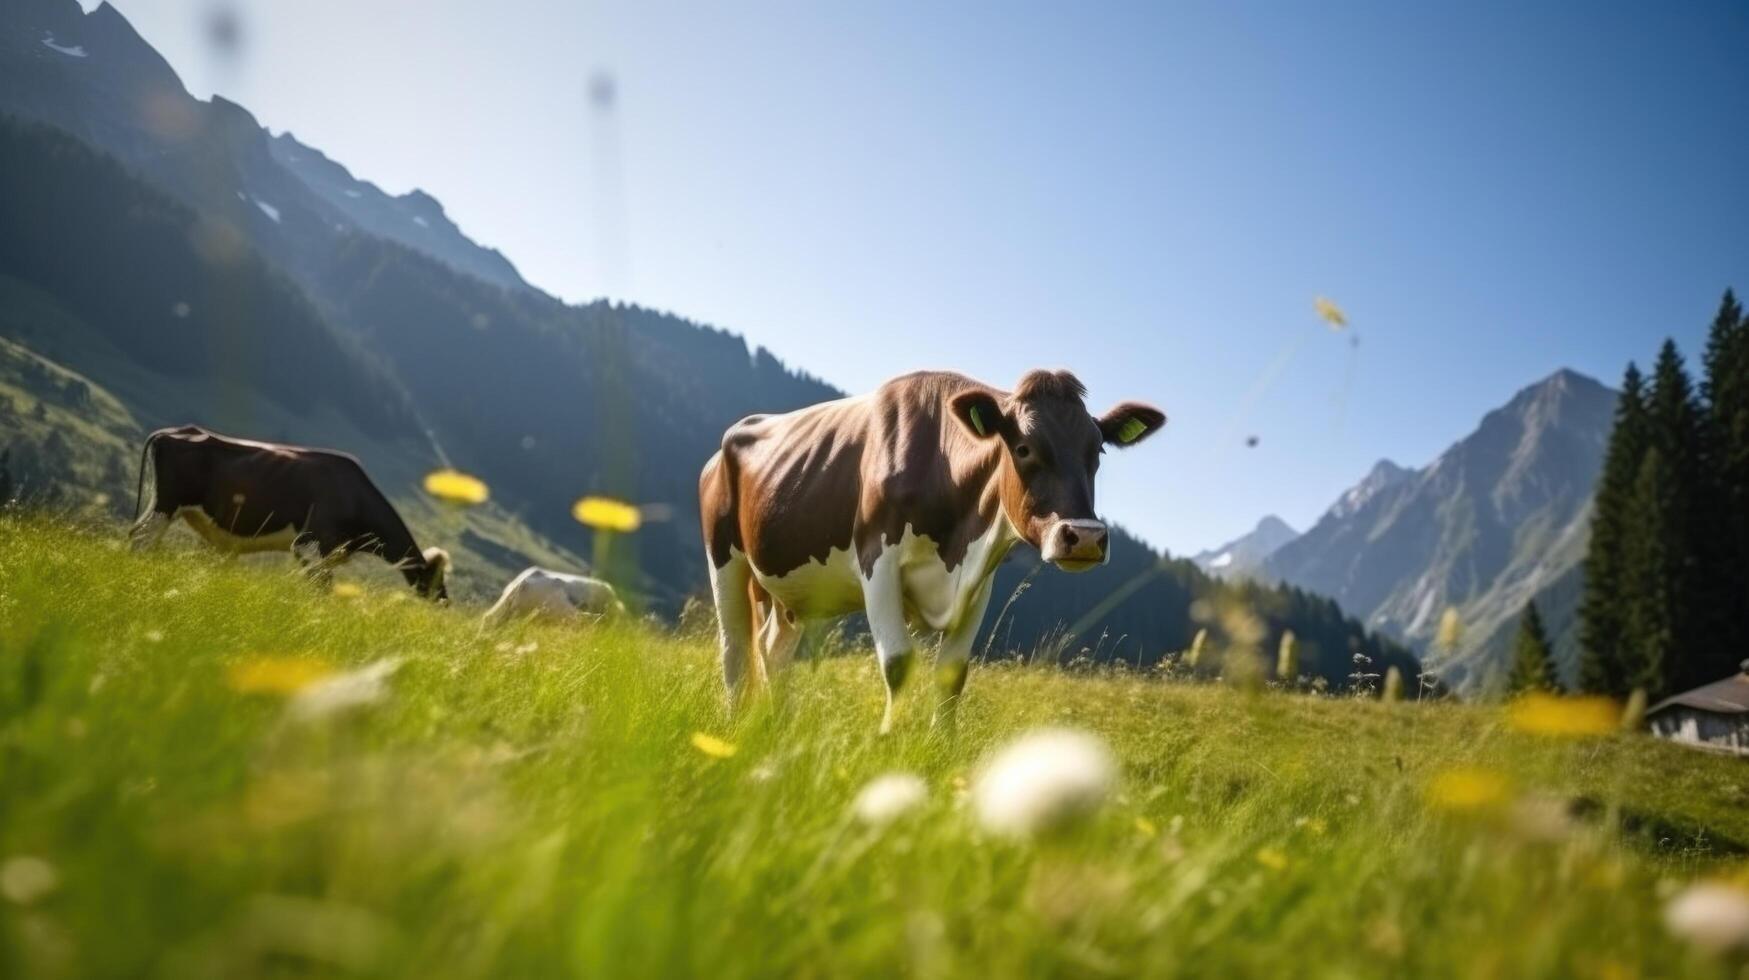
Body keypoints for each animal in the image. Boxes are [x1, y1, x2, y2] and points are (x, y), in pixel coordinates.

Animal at [133, 421, 454, 598]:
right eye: (435, 577)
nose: (444, 600)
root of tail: (175, 431)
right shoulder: (309, 543)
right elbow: (320, 589)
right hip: (166, 504)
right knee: (141, 537)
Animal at [696, 371, 1161, 731]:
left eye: (1097, 450)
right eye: (1024, 448)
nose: (1085, 536)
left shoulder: (980, 581)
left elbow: (953, 674)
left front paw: (942, 744)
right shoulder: (877, 562)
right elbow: (898, 662)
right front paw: (890, 739)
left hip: (789, 588)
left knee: (773, 649)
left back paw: (777, 723)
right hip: (725, 559)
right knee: (734, 649)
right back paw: (734, 727)